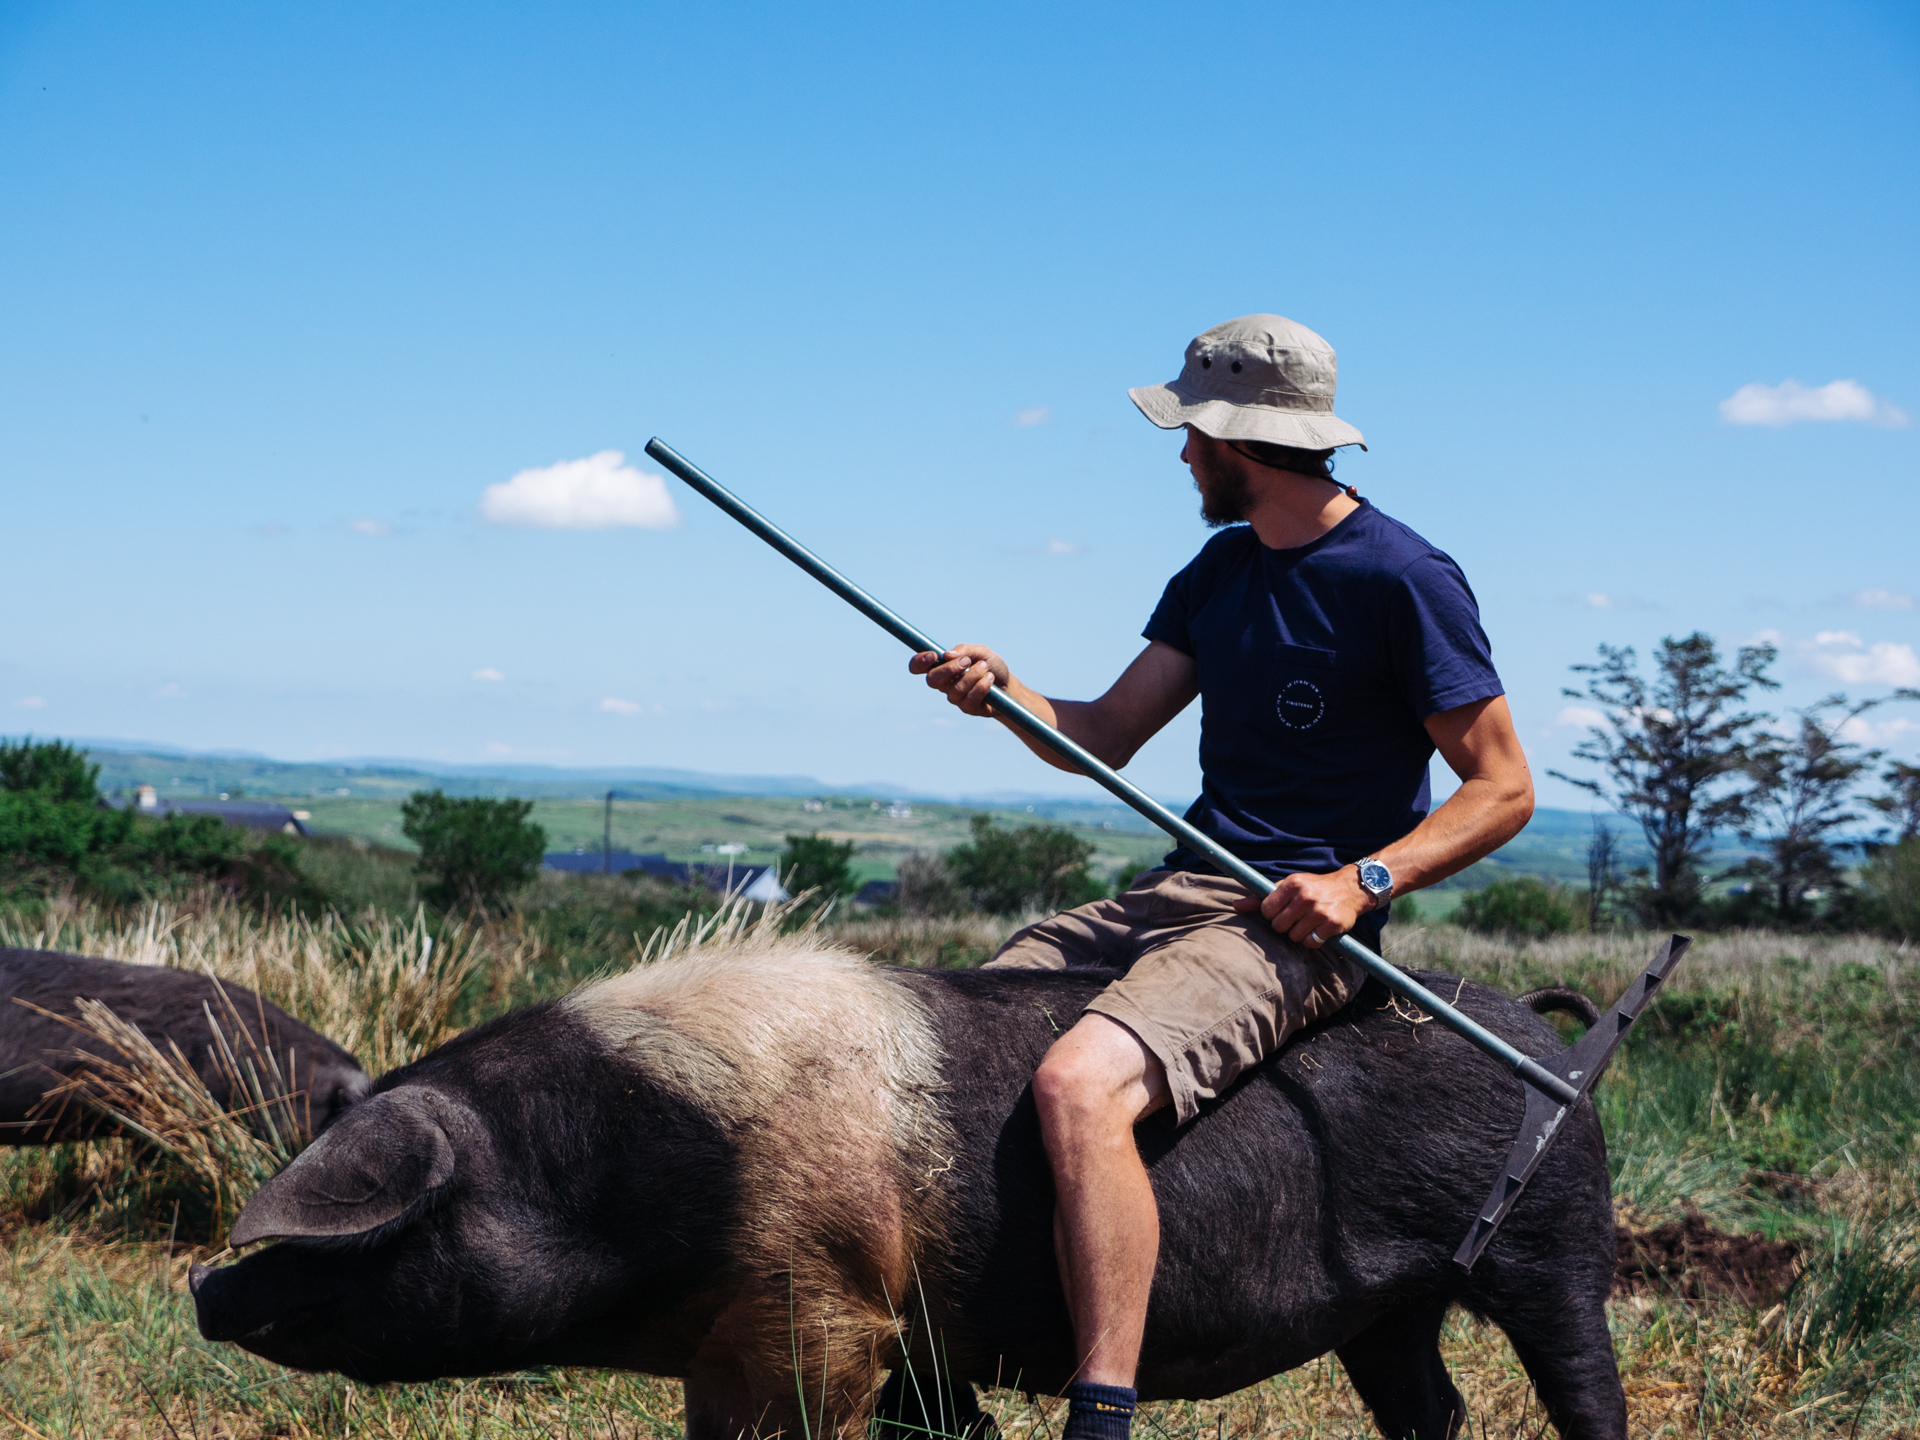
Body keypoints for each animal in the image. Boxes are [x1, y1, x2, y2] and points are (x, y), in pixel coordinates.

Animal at [194, 948, 1628, 1440]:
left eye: (377, 1218)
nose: (208, 1284)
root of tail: (1555, 1035)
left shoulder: (812, 1310)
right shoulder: (908, 1334)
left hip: (1554, 1248)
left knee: (1583, 1386)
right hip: (1389, 1309)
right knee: (1431, 1405)